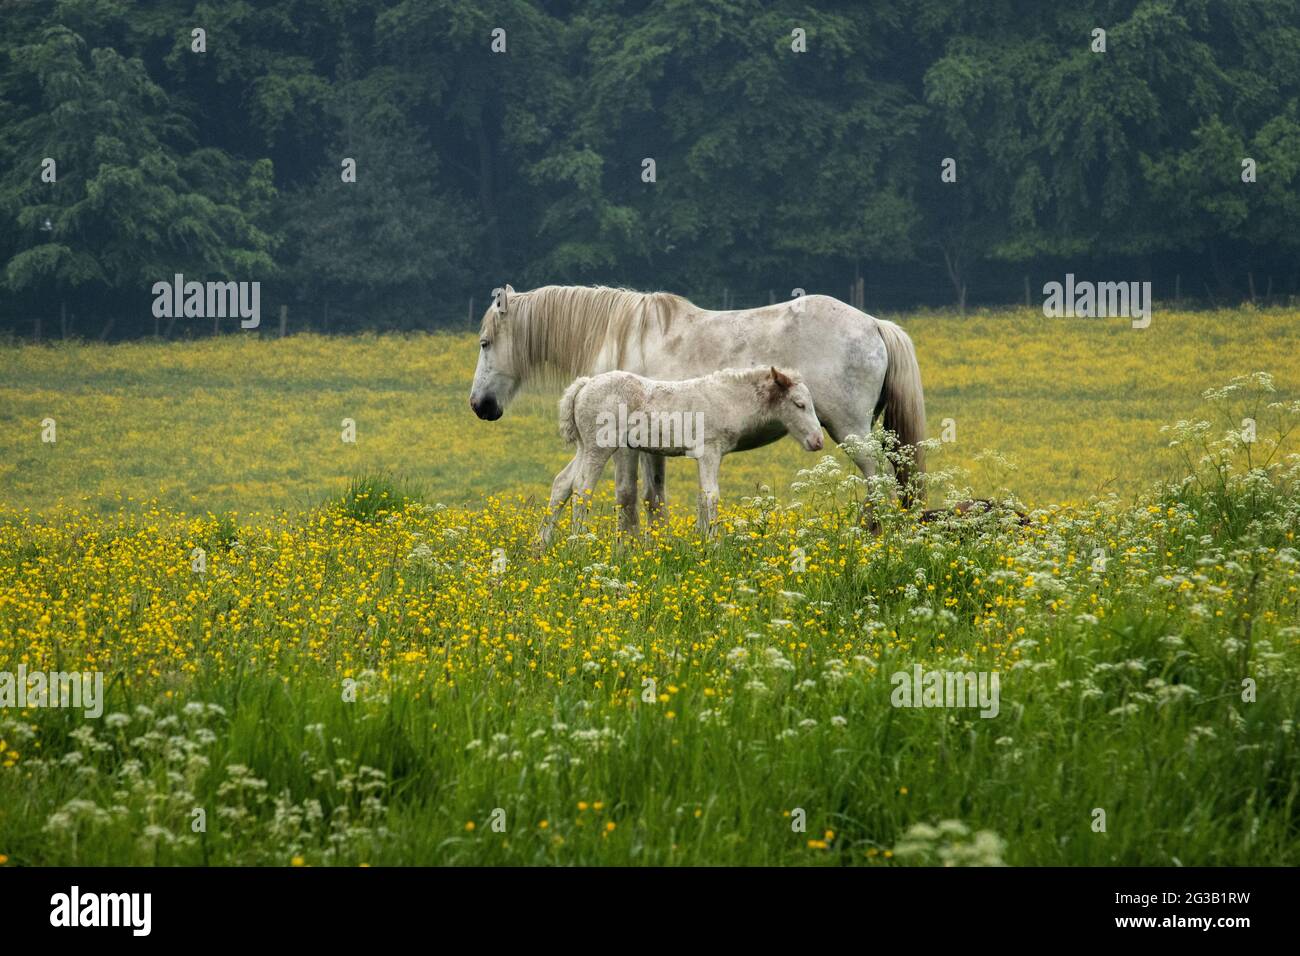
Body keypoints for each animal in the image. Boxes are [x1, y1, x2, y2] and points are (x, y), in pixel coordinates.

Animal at [467, 283, 925, 528]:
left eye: (485, 343)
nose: (479, 405)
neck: (622, 335)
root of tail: (875, 324)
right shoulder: (650, 445)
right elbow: (652, 497)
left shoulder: (622, 447)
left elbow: (626, 497)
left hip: (850, 431)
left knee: (878, 482)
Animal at [538, 369, 821, 546]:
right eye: (799, 404)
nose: (818, 441)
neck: (727, 399)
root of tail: (584, 384)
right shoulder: (709, 450)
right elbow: (711, 496)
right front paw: (714, 544)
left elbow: (701, 497)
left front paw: (702, 540)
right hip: (599, 446)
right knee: (582, 487)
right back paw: (577, 543)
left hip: (583, 445)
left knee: (562, 483)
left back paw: (541, 544)